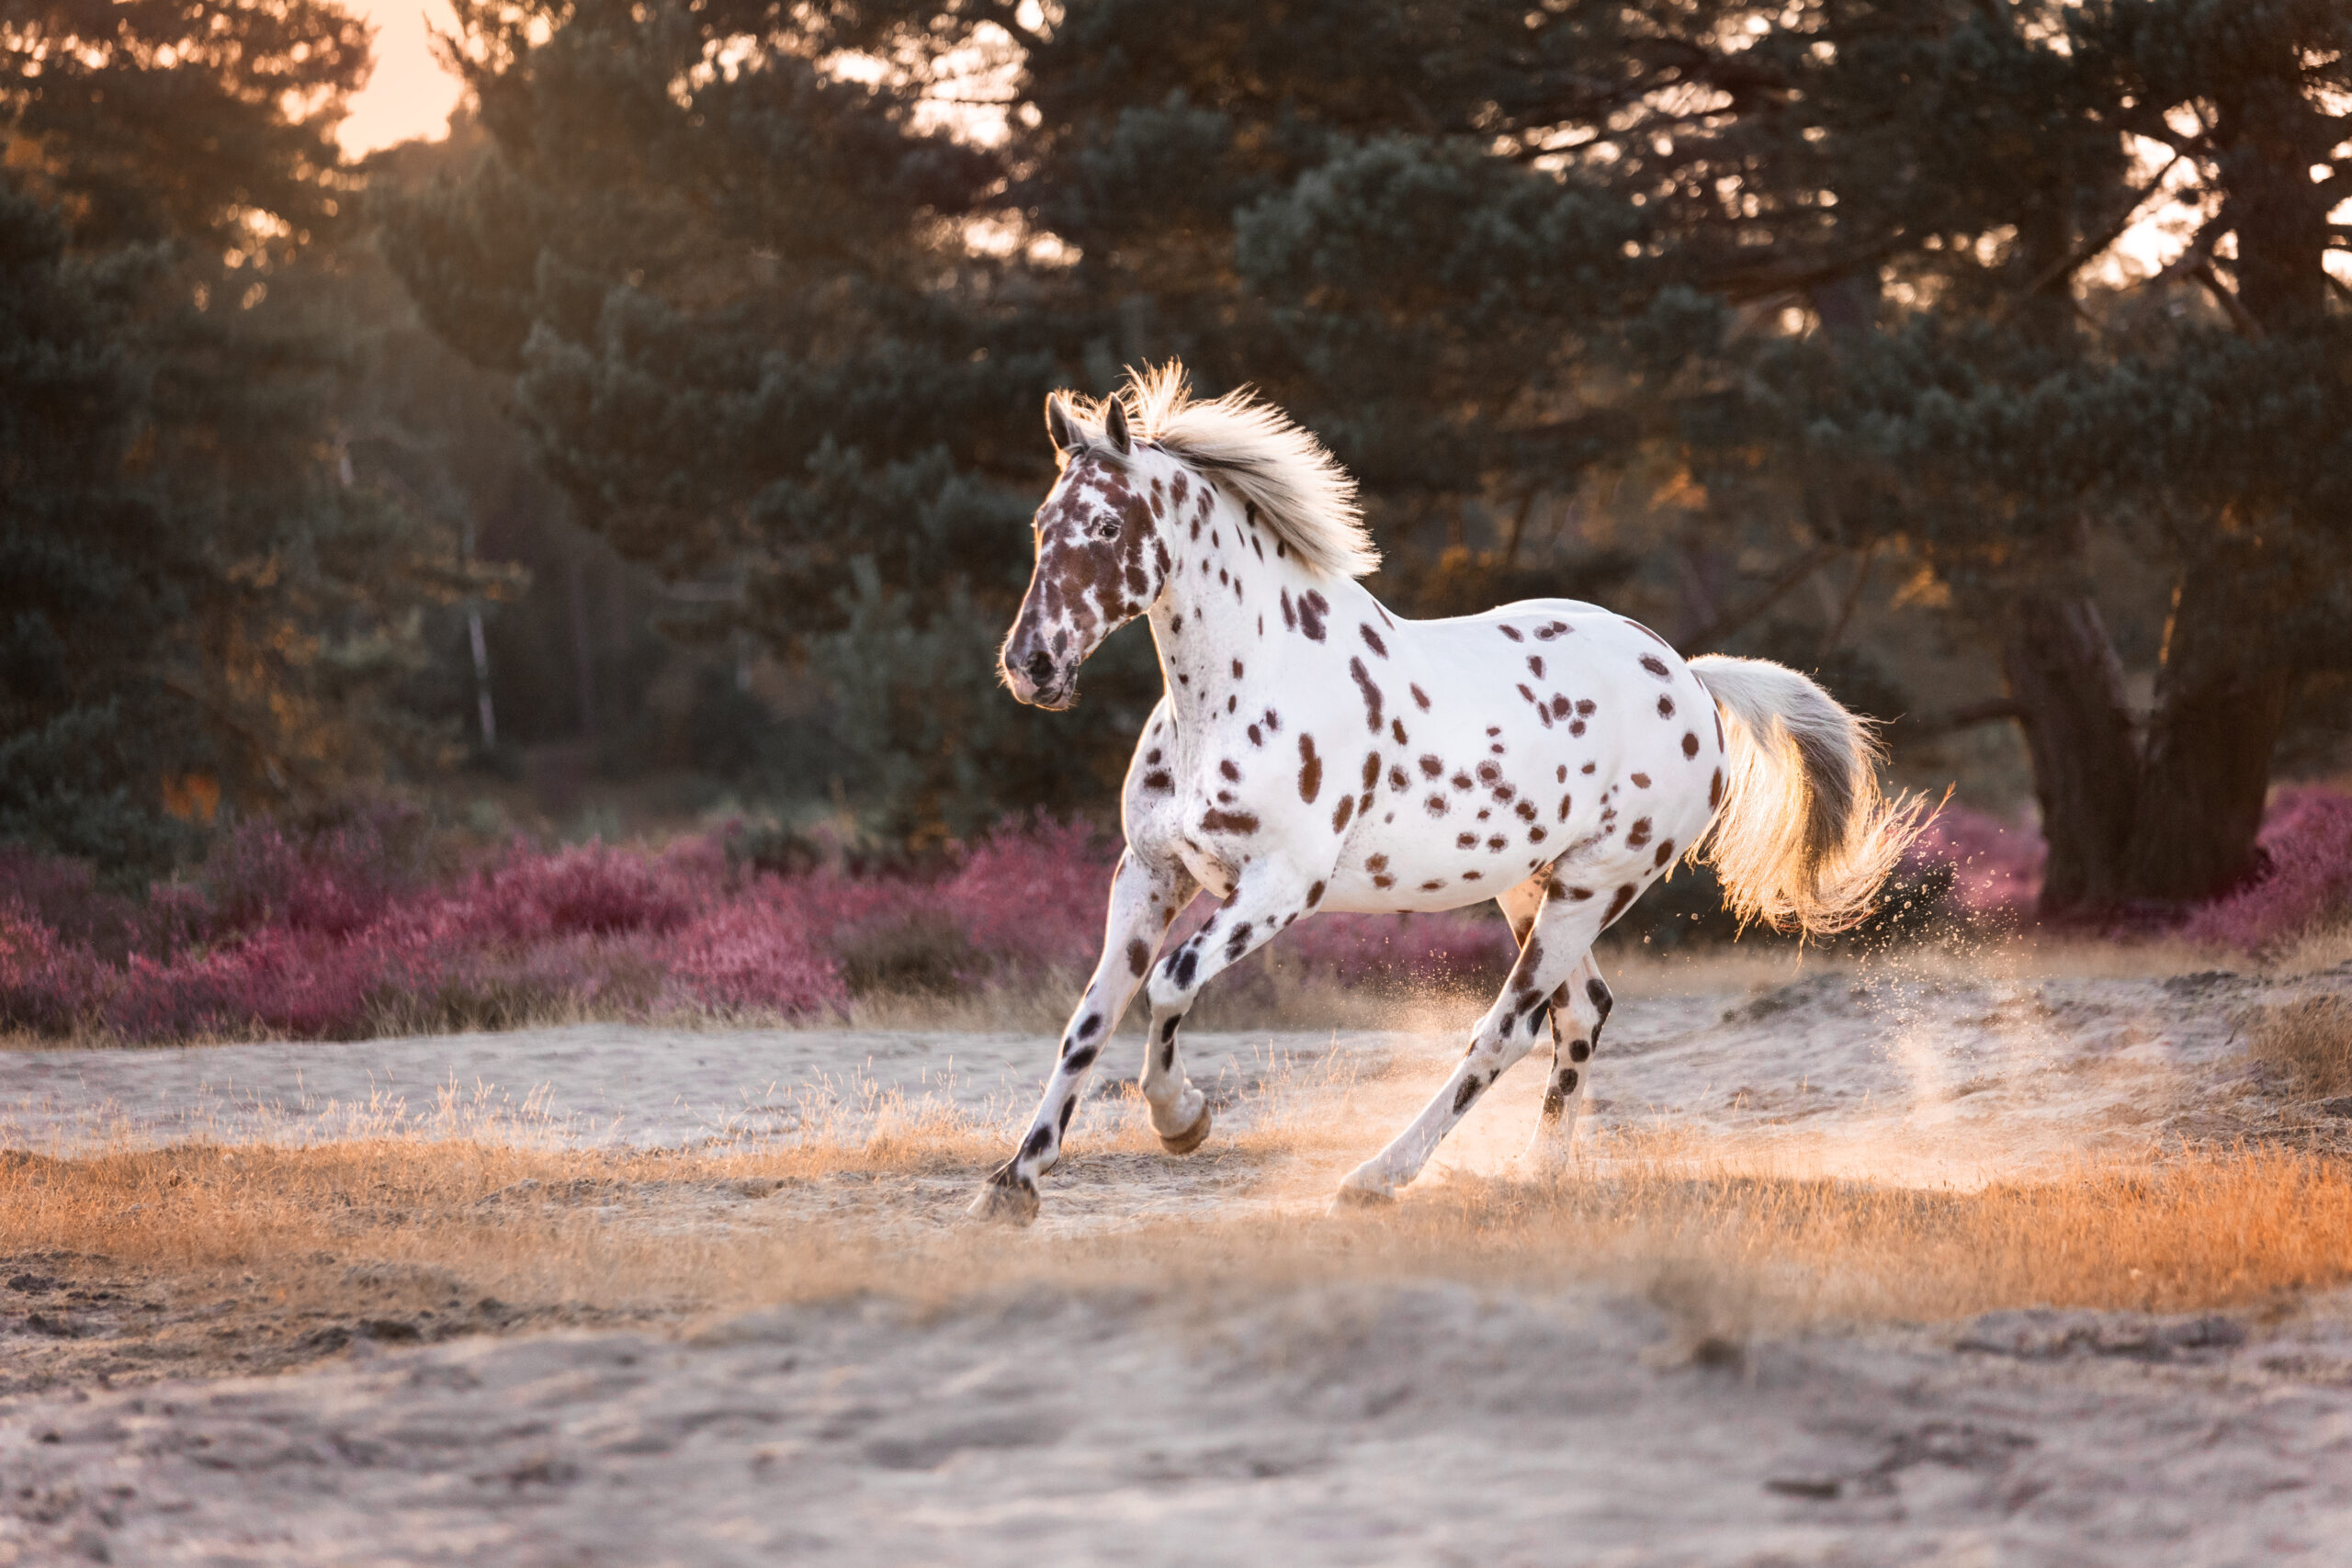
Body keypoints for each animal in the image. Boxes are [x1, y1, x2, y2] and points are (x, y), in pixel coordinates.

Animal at [964, 368, 1918, 1222]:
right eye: (1043, 523)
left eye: (1105, 522)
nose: (1032, 663)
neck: (1244, 687)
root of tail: (1689, 676)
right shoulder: (1149, 872)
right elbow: (1089, 1020)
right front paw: (1014, 1184)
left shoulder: (1279, 887)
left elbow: (1169, 983)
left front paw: (1183, 1121)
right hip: (1529, 884)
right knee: (1581, 1014)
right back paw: (1537, 1174)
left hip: (1594, 886)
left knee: (1507, 1028)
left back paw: (1377, 1176)